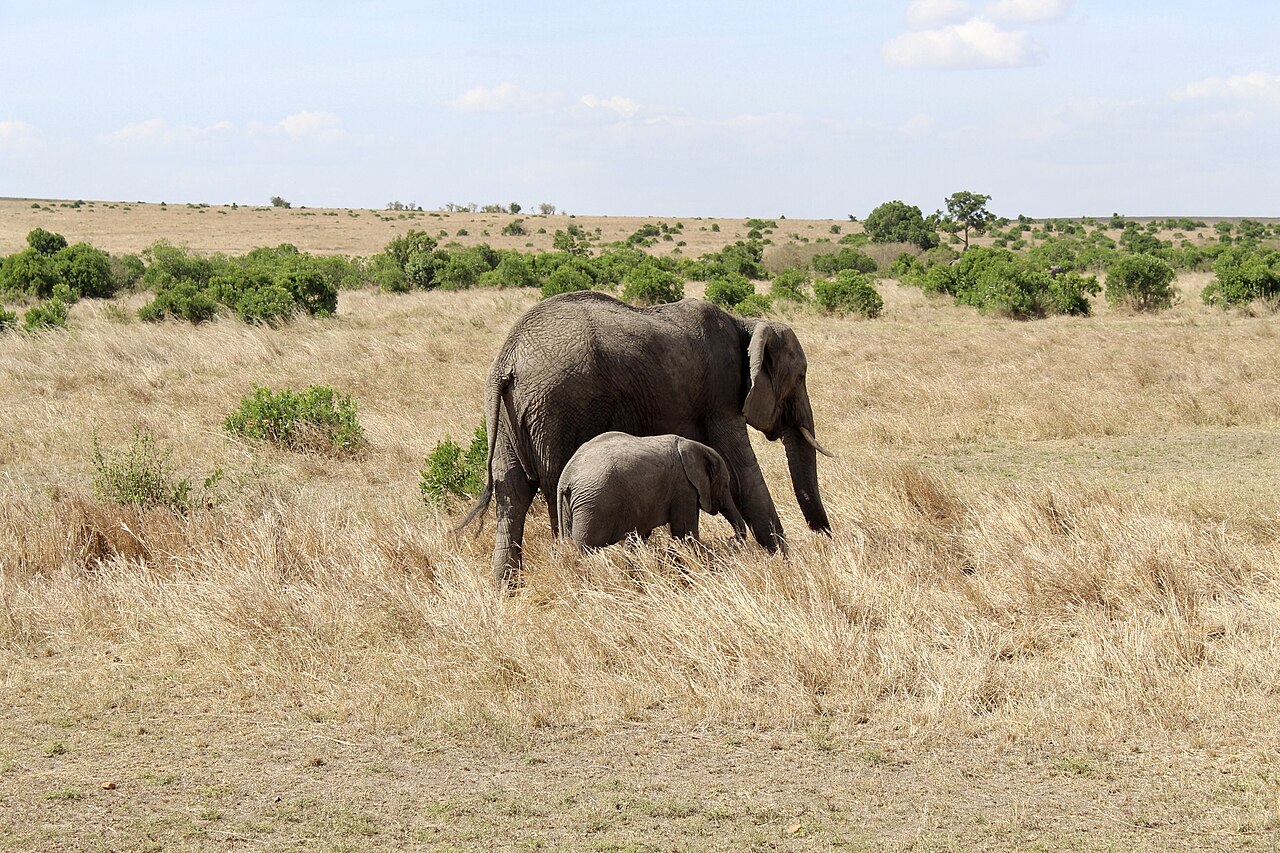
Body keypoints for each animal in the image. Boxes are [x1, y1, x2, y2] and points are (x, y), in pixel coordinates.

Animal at [557, 432, 748, 549]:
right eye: (725, 486)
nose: (731, 540)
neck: (692, 446)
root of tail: (566, 477)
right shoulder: (684, 487)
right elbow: (684, 532)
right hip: (594, 505)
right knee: (587, 548)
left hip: (573, 507)